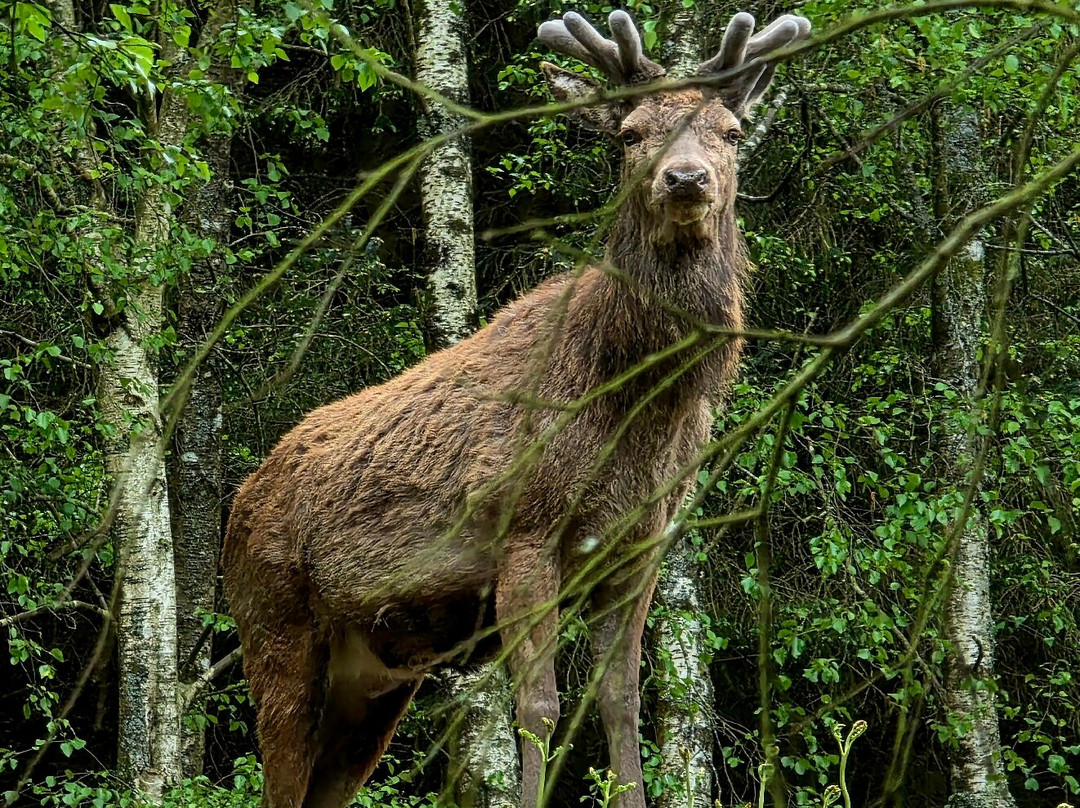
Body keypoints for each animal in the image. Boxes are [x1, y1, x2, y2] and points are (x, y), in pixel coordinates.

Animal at [222, 8, 811, 808]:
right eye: (630, 133)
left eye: (731, 130)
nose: (685, 178)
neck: (638, 410)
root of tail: (235, 511)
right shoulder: (524, 528)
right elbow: (538, 706)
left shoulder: (637, 546)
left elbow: (619, 702)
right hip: (274, 619)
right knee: (278, 771)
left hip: (372, 680)